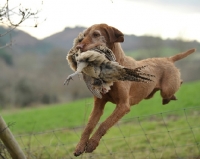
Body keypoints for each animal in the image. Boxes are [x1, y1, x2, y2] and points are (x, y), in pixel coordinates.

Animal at [70, 23, 195, 157]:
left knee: (178, 84)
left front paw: (92, 144)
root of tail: (168, 59)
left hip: (167, 88)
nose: (78, 47)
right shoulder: (98, 105)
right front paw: (80, 146)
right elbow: (88, 126)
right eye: (83, 36)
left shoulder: (123, 105)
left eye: (96, 34)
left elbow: (104, 124)